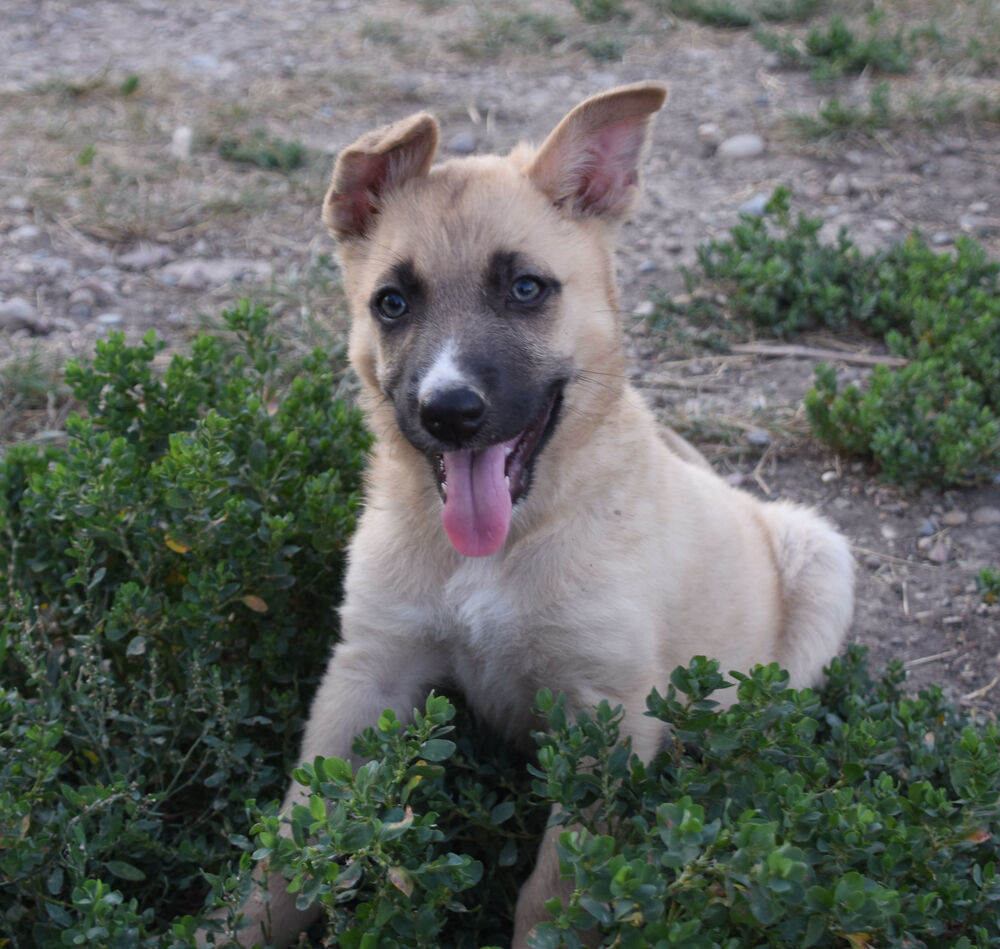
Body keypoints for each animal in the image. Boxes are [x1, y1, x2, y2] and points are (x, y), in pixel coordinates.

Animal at [227, 83, 852, 948]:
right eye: (391, 303)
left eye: (526, 288)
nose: (449, 412)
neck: (504, 545)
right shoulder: (369, 673)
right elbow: (290, 853)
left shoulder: (604, 716)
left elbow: (554, 893)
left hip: (820, 559)